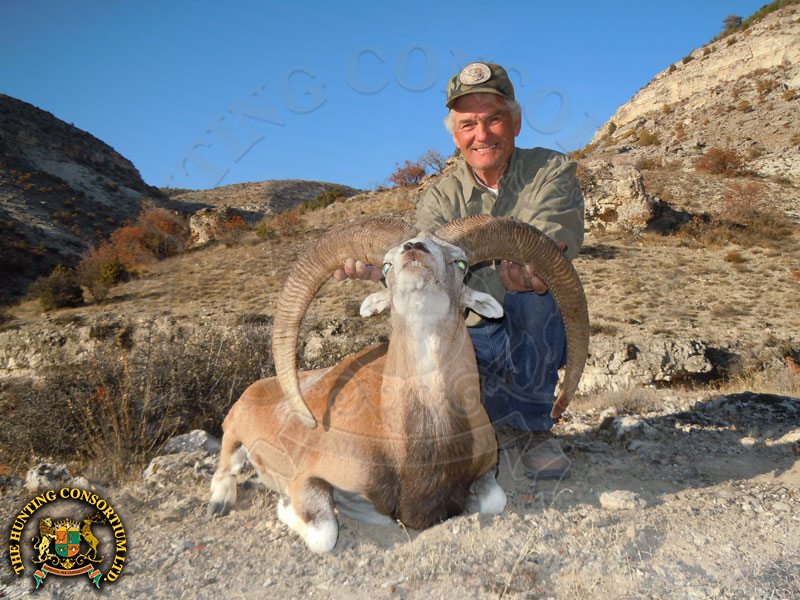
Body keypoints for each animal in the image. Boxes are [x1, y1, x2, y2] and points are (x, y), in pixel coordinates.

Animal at [207, 215, 589, 553]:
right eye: (387, 266)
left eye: (461, 263)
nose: (414, 250)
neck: (414, 440)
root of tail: (259, 388)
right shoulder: (311, 477)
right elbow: (324, 533)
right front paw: (286, 504)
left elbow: (494, 500)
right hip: (234, 429)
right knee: (227, 462)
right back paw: (220, 501)